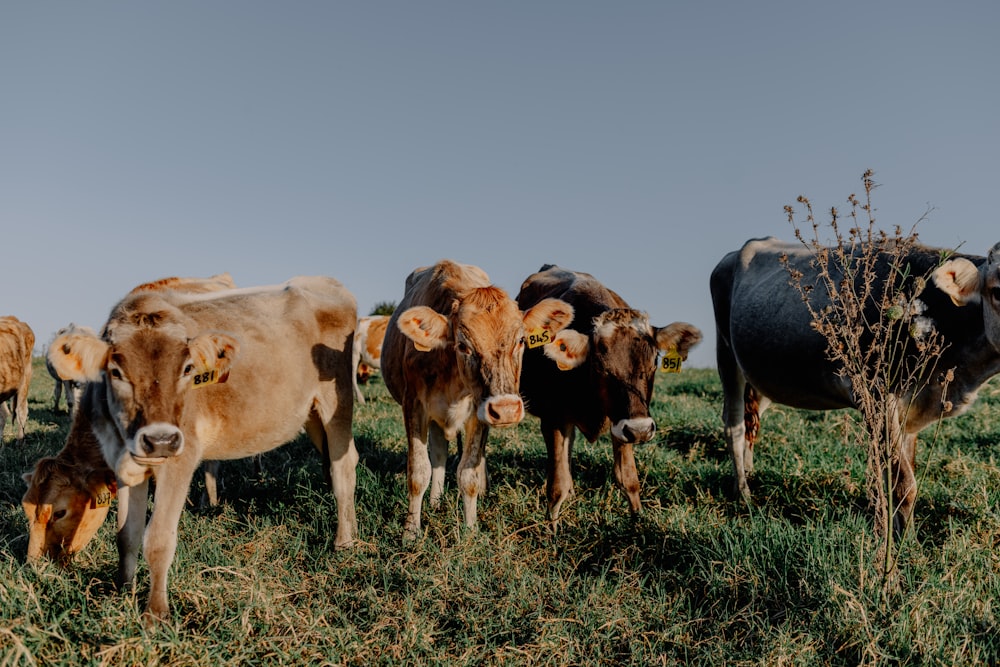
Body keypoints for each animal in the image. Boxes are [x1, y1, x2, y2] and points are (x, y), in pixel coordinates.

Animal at [41, 276, 360, 620]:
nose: (160, 440)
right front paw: (123, 593)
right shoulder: (123, 463)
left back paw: (343, 542)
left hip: (336, 401)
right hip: (310, 413)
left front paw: (155, 614)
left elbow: (158, 538)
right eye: (116, 372)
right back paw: (353, 528)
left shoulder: (181, 458)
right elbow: (126, 535)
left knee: (343, 466)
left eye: (187, 368)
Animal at [378, 258, 576, 540]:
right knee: (438, 453)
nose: (506, 409)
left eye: (521, 340)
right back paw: (435, 501)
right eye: (463, 345)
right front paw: (410, 531)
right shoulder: (413, 405)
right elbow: (418, 471)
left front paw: (470, 530)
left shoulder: (478, 411)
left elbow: (467, 474)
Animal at [516, 264, 704, 520]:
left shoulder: (622, 422)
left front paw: (638, 521)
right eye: (601, 367)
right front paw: (551, 526)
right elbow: (557, 487)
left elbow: (629, 479)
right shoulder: (553, 418)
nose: (641, 430)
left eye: (654, 363)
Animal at [712, 237, 1000, 536]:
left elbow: (900, 473)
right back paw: (743, 493)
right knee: (734, 425)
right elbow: (903, 482)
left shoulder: (911, 407)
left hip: (761, 374)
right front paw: (903, 543)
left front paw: (900, 533)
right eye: (998, 291)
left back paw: (749, 474)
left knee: (752, 421)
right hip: (727, 356)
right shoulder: (877, 396)